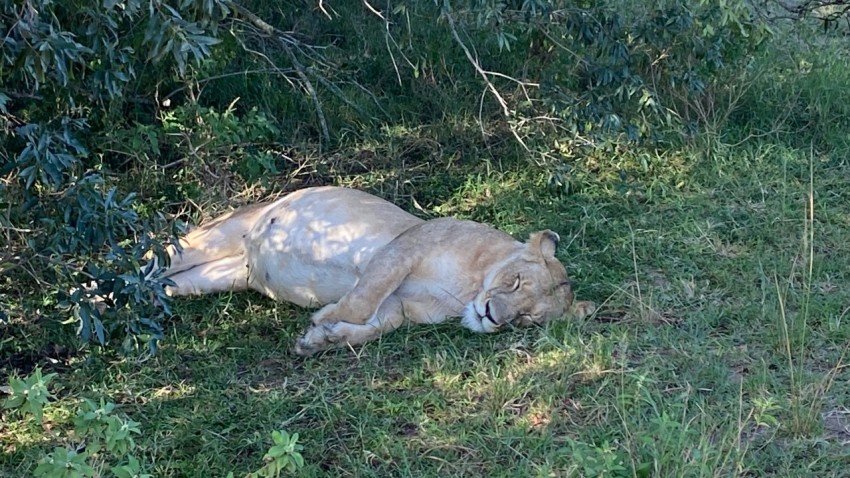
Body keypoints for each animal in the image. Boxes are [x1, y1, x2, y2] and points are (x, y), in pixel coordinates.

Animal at [162, 187, 592, 354]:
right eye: (515, 281)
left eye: (528, 319)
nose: (493, 318)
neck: (467, 291)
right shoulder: (401, 249)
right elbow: (362, 299)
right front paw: (324, 319)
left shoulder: (400, 306)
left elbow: (377, 325)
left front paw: (320, 339)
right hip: (218, 234)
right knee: (162, 255)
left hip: (219, 276)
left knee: (170, 285)